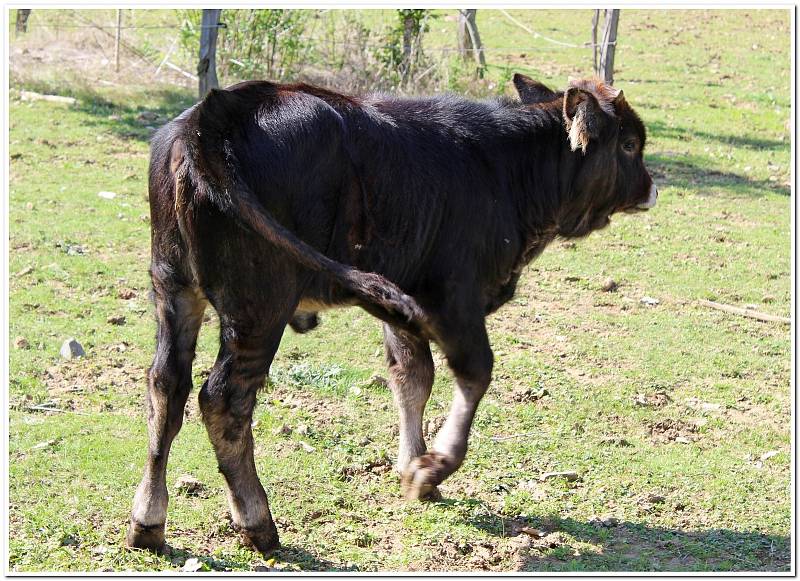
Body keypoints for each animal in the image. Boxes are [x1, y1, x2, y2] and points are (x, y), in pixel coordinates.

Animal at [130, 72, 656, 552]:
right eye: (630, 144)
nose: (652, 188)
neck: (503, 169)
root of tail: (215, 116)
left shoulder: (405, 307)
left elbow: (412, 377)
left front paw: (411, 466)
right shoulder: (453, 297)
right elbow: (474, 373)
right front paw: (432, 468)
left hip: (174, 288)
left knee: (166, 386)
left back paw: (148, 521)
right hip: (259, 307)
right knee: (223, 400)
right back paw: (257, 523)